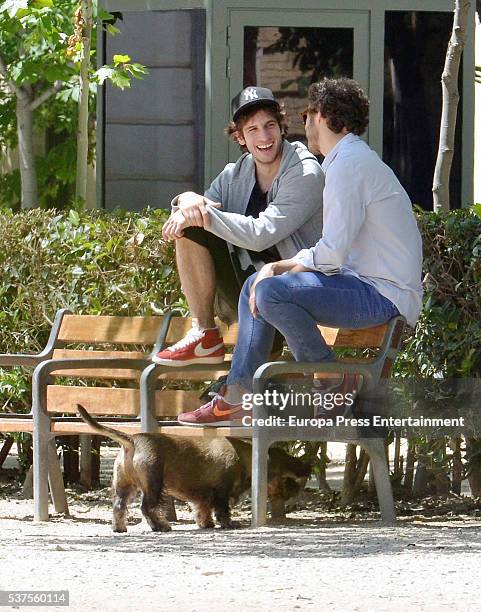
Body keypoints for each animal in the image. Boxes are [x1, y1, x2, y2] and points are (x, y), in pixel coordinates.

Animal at [75, 406, 308, 532]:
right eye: (287, 476)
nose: (306, 469)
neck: (245, 455)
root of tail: (133, 440)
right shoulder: (221, 493)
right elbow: (222, 510)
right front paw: (228, 524)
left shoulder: (203, 495)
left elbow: (202, 510)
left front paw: (206, 524)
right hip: (154, 484)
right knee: (147, 508)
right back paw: (161, 526)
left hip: (125, 486)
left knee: (119, 506)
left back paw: (119, 528)